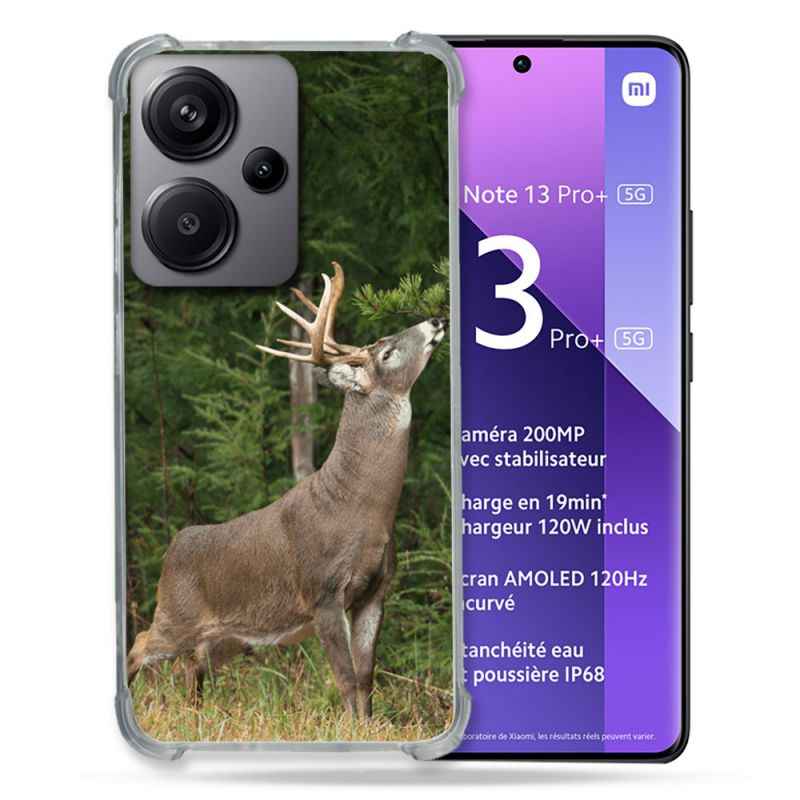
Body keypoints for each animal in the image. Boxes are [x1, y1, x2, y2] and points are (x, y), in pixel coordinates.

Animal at [127, 262, 446, 717]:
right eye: (386, 352)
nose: (436, 320)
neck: (362, 508)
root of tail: (173, 547)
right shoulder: (323, 592)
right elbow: (346, 677)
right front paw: (352, 727)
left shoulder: (376, 590)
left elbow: (367, 676)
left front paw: (369, 725)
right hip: (176, 612)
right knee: (140, 644)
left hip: (228, 636)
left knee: (192, 664)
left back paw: (197, 714)